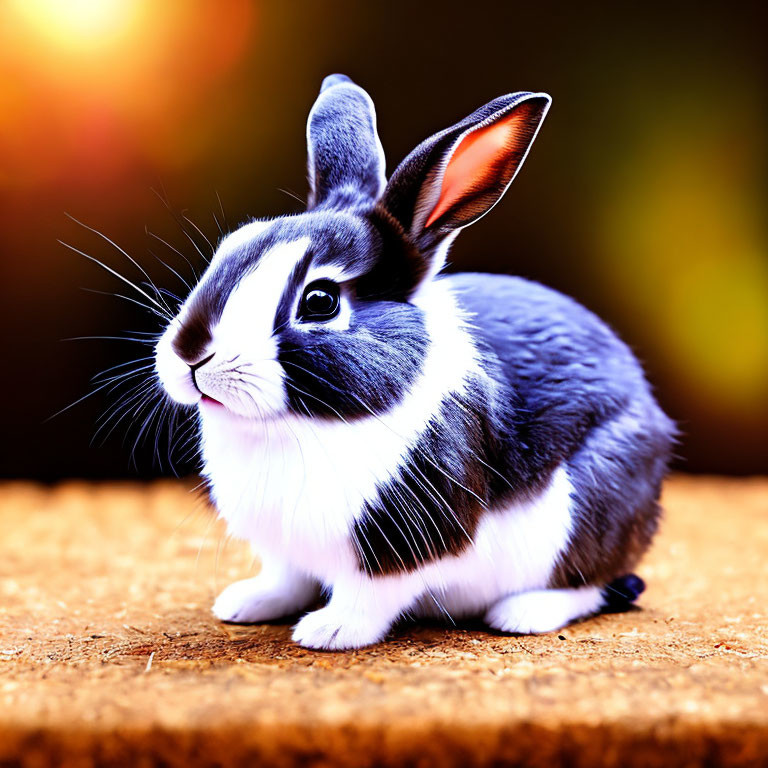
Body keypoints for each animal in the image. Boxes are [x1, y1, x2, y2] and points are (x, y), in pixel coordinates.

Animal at [154, 72, 672, 652]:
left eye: (320, 302)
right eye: (231, 247)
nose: (190, 356)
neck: (296, 425)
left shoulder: (405, 540)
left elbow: (371, 596)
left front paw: (329, 631)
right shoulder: (285, 549)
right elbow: (286, 578)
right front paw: (246, 604)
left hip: (592, 503)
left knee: (593, 583)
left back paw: (523, 613)